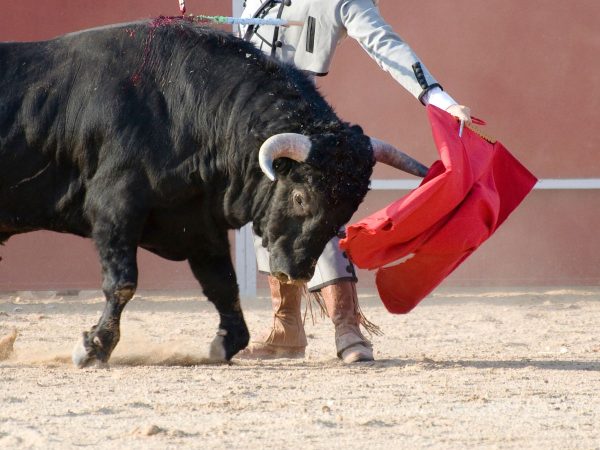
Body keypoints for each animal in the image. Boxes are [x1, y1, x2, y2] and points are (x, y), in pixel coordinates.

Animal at [0, 19, 426, 368]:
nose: (295, 272)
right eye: (301, 197)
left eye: (349, 210)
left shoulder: (197, 222)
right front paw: (94, 347)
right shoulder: (114, 208)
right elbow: (122, 281)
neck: (179, 108)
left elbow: (223, 284)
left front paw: (226, 343)